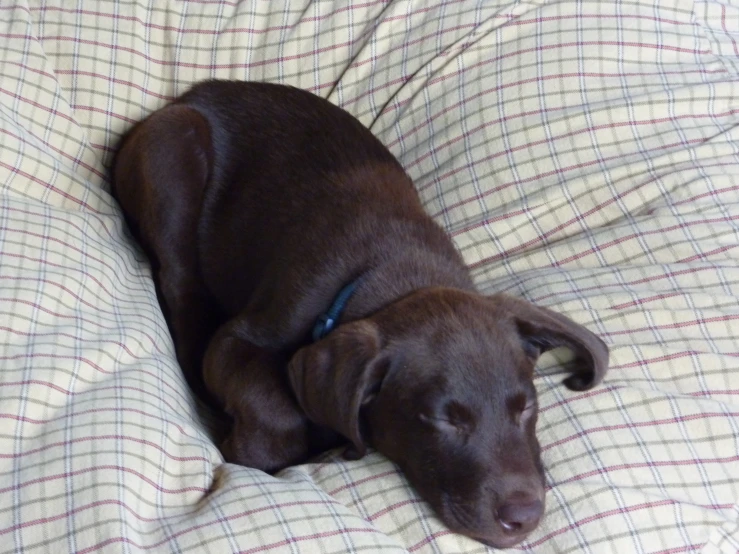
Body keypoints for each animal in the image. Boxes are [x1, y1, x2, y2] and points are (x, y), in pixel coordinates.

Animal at [110, 80, 608, 544]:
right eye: (442, 419)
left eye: (527, 408)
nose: (524, 518)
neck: (397, 273)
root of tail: (192, 94)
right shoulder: (240, 340)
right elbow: (274, 406)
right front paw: (261, 447)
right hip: (174, 149)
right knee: (179, 283)